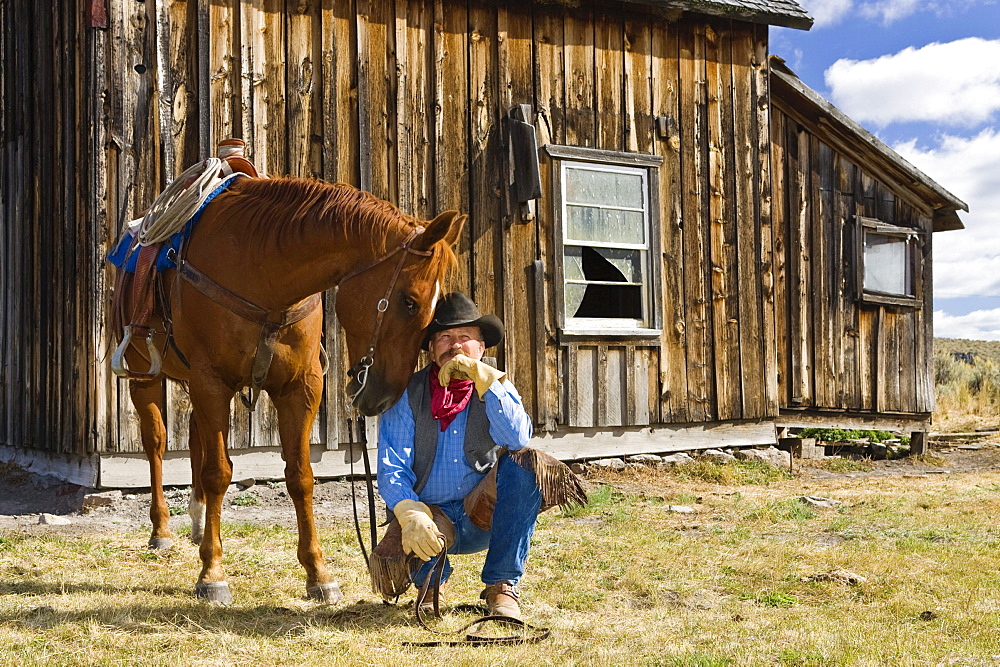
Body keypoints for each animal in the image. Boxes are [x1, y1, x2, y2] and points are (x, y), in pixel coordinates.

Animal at [114, 177, 464, 604]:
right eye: (410, 302)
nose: (383, 396)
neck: (264, 275)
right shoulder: (210, 381)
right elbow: (218, 473)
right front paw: (212, 573)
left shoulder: (300, 387)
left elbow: (300, 477)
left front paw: (318, 573)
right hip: (144, 374)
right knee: (156, 442)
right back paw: (162, 530)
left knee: (195, 433)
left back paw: (196, 522)